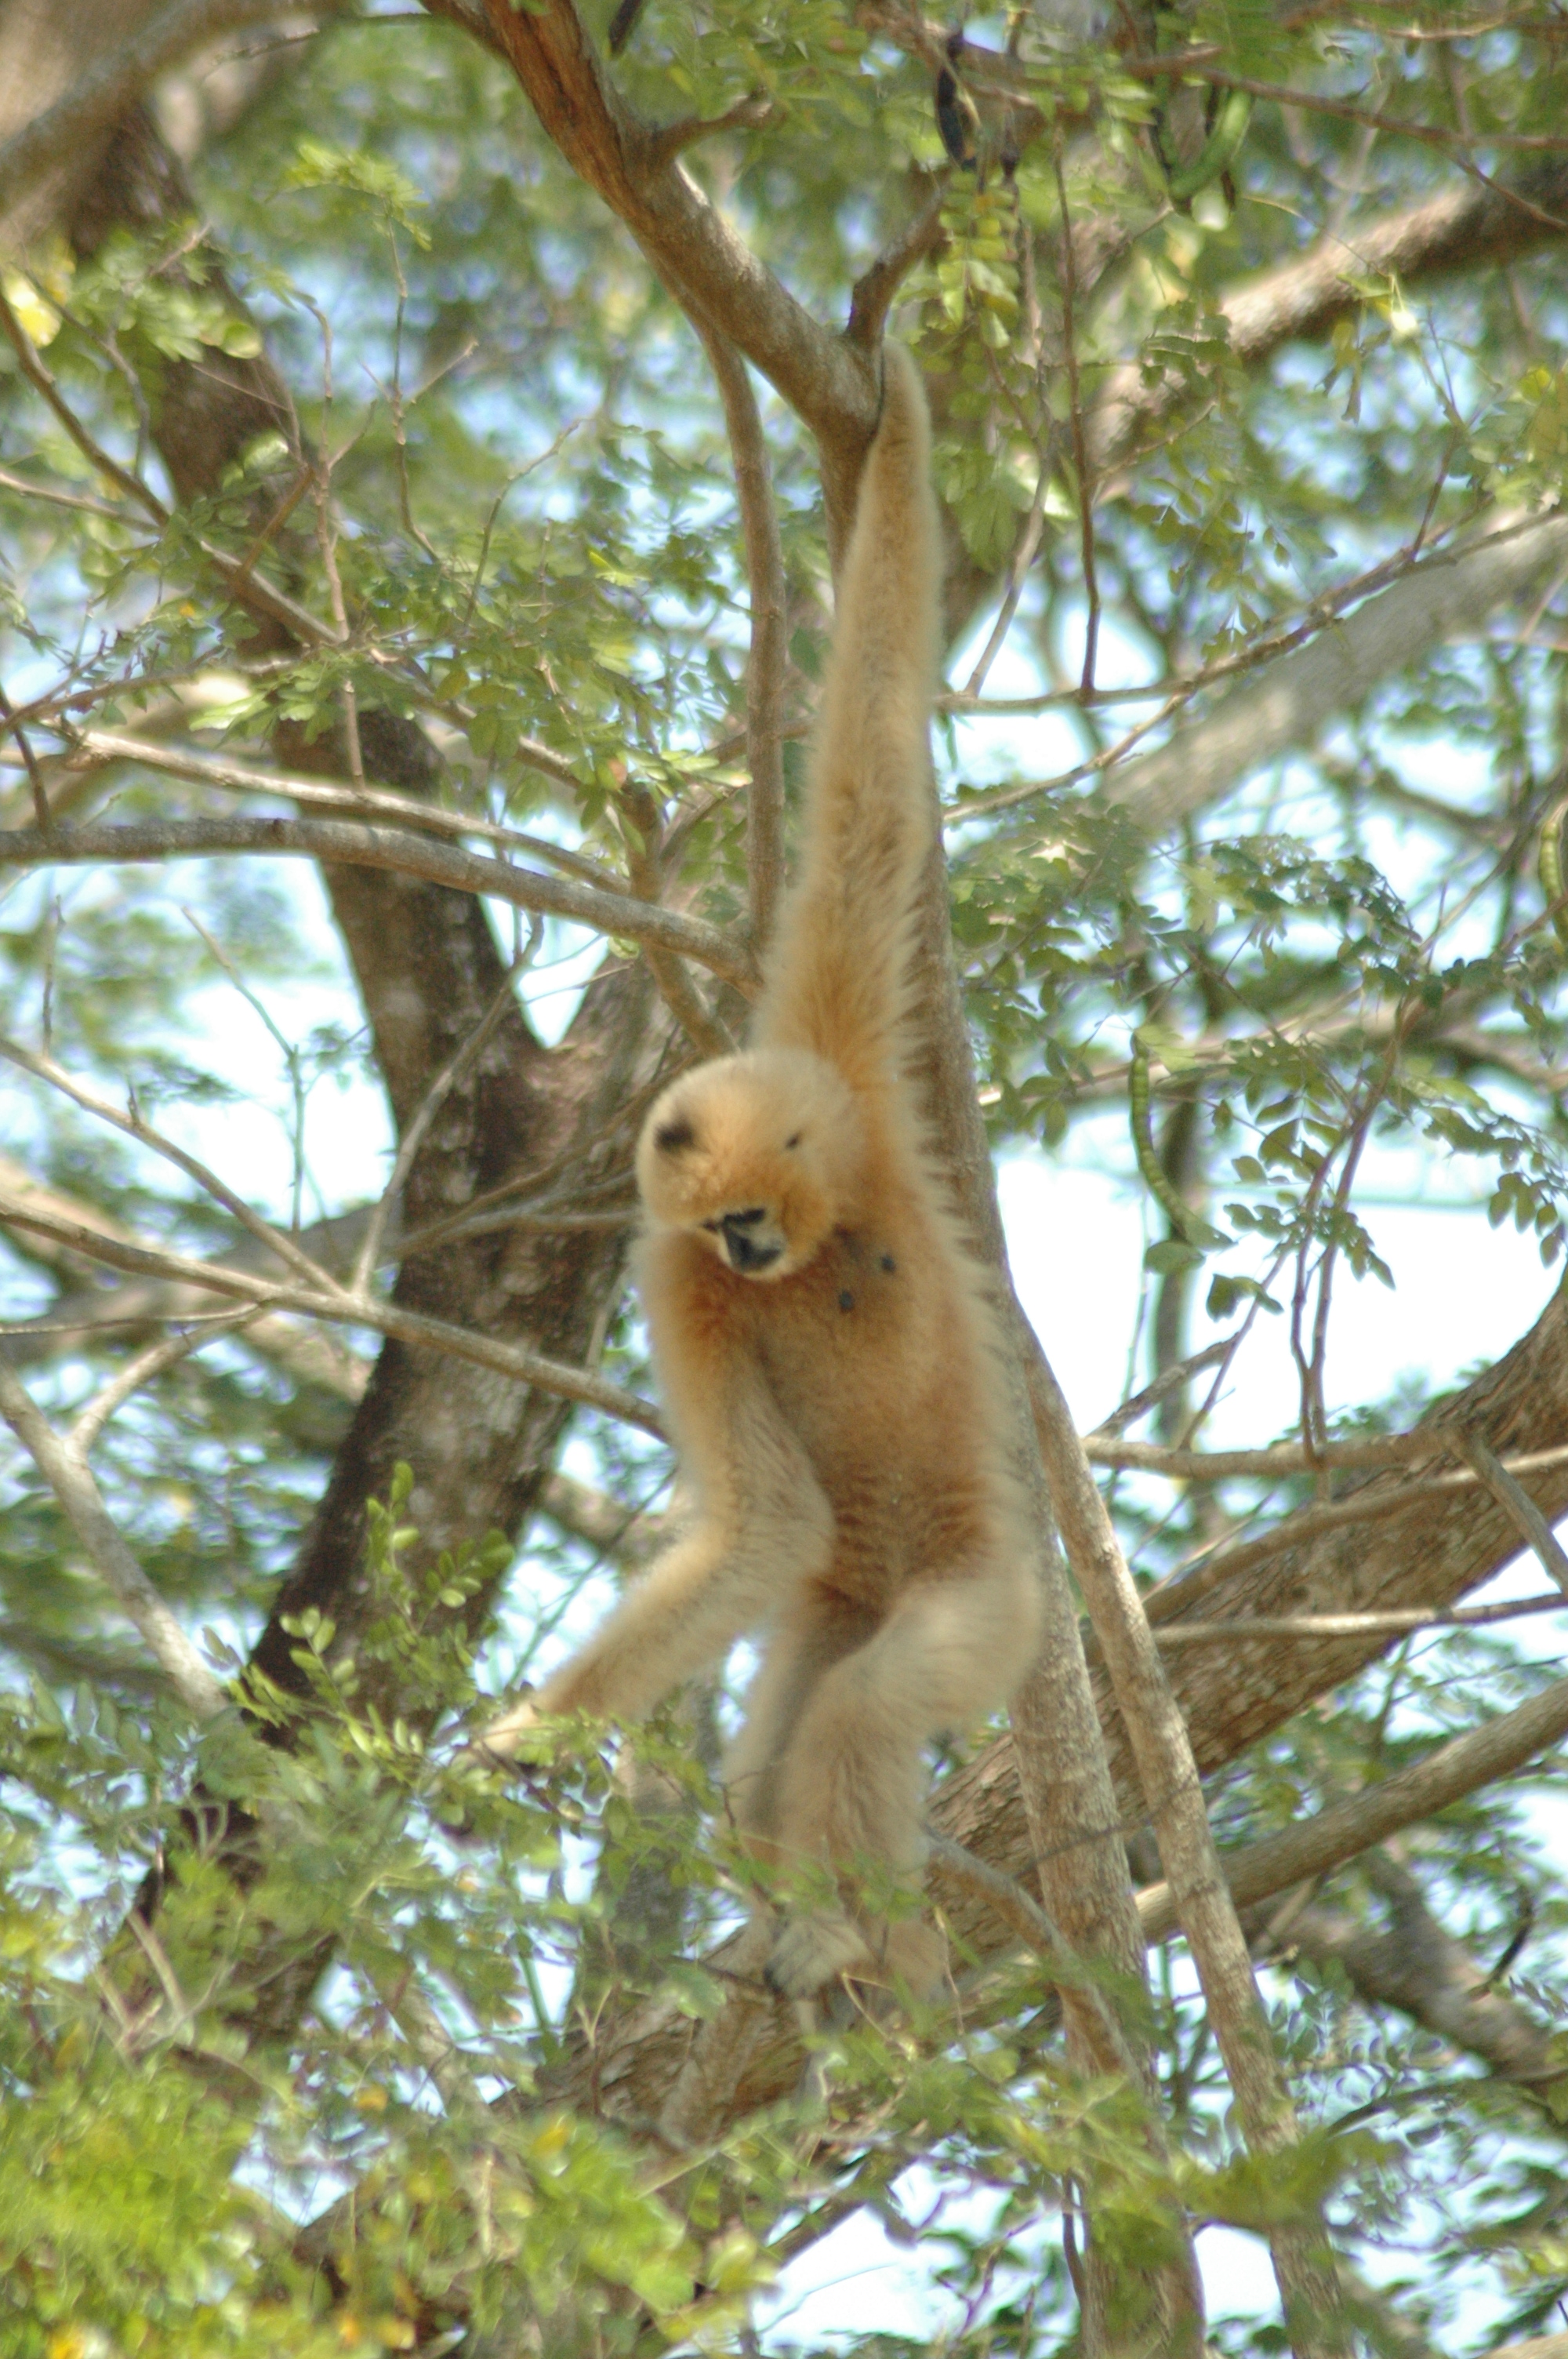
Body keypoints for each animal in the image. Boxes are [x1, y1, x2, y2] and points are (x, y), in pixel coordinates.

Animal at [477, 346, 1043, 2001]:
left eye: (746, 1212)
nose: (742, 1253)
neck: (842, 1216)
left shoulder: (853, 1067)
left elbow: (868, 795)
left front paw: (899, 422)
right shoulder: (674, 1280)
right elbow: (762, 1521)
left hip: (988, 1597)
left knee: (864, 1699)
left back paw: (854, 1933)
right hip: (837, 1597)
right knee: (792, 1705)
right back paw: (827, 1926)